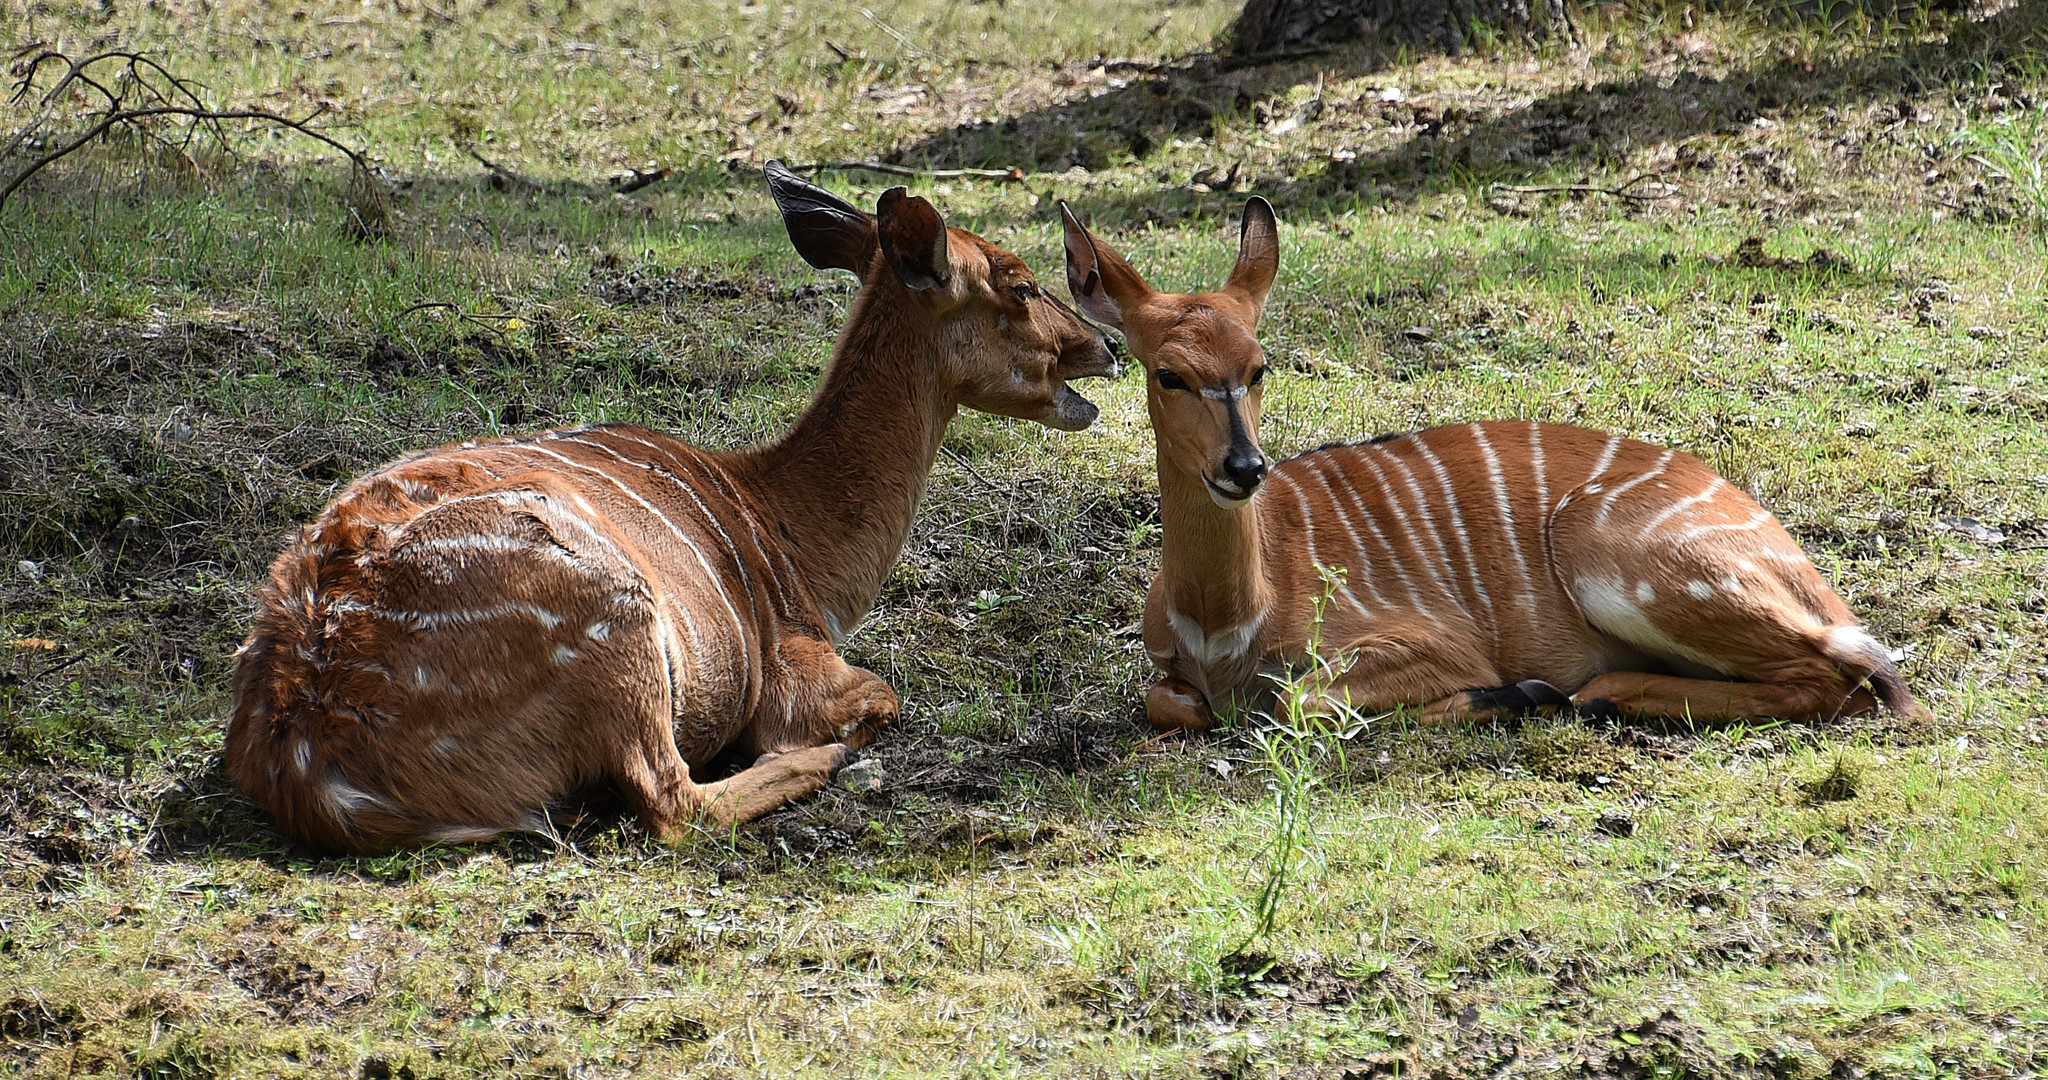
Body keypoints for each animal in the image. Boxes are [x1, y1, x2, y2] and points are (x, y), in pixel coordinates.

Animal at [228, 162, 1122, 852]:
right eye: (1021, 284)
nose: (1108, 345)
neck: (803, 546)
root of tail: (310, 764)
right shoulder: (797, 669)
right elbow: (877, 695)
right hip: (612, 615)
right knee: (672, 801)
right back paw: (820, 767)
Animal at [1064, 196, 1925, 733]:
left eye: (1260, 366)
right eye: (1167, 374)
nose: (1245, 467)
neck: (1226, 619)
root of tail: (1809, 576)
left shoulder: (1432, 642)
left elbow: (1299, 704)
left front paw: (1509, 694)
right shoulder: (1171, 676)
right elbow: (1170, 702)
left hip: (1624, 559)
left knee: (1852, 677)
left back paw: (1579, 695)